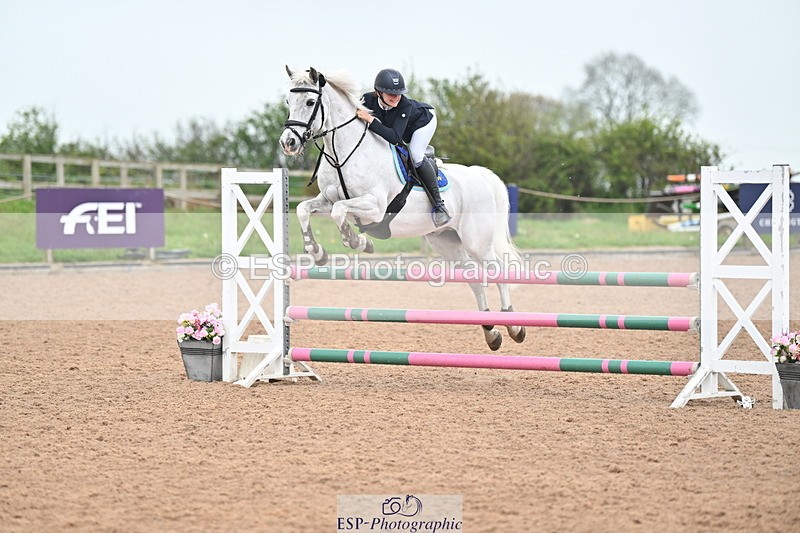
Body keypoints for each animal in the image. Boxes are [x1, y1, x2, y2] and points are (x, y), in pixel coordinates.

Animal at [279, 66, 526, 351]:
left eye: (310, 102)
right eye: (288, 102)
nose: (288, 143)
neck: (344, 153)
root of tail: (480, 175)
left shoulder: (374, 207)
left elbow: (339, 211)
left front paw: (359, 242)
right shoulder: (326, 199)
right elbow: (305, 209)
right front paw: (317, 252)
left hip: (477, 242)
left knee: (498, 271)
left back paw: (513, 325)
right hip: (446, 242)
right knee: (473, 278)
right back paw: (490, 331)